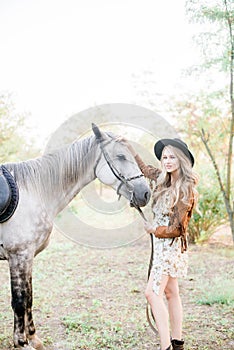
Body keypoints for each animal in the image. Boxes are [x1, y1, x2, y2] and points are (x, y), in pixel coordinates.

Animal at [0, 124, 150, 348]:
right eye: (121, 156)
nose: (145, 193)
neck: (34, 191)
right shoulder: (19, 256)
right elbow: (19, 301)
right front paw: (22, 343)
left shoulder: (27, 257)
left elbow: (29, 297)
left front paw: (34, 338)